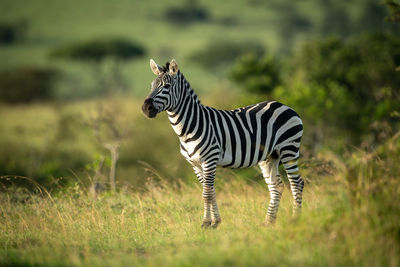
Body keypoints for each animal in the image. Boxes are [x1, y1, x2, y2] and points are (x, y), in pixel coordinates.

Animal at [141, 59, 304, 228]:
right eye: (152, 85)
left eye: (166, 86)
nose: (146, 108)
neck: (189, 128)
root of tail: (284, 106)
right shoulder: (195, 164)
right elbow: (211, 192)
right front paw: (215, 222)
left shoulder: (209, 159)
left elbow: (206, 193)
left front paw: (206, 223)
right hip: (269, 156)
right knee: (276, 186)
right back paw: (268, 221)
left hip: (289, 149)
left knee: (297, 183)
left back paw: (295, 219)